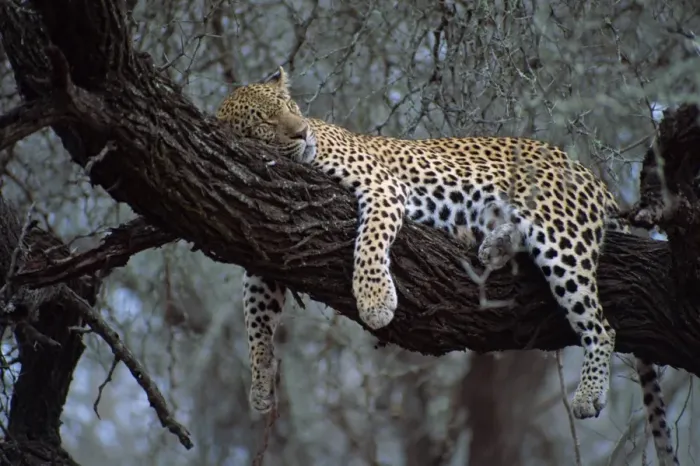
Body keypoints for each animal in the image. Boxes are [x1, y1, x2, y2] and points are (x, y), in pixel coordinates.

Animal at [217, 67, 678, 466]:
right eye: (265, 120)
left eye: (290, 105)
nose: (302, 131)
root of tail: (591, 175)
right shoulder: (263, 244)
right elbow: (255, 316)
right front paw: (260, 382)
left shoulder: (381, 187)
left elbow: (369, 243)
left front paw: (375, 300)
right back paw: (492, 245)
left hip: (560, 233)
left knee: (602, 325)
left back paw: (588, 394)